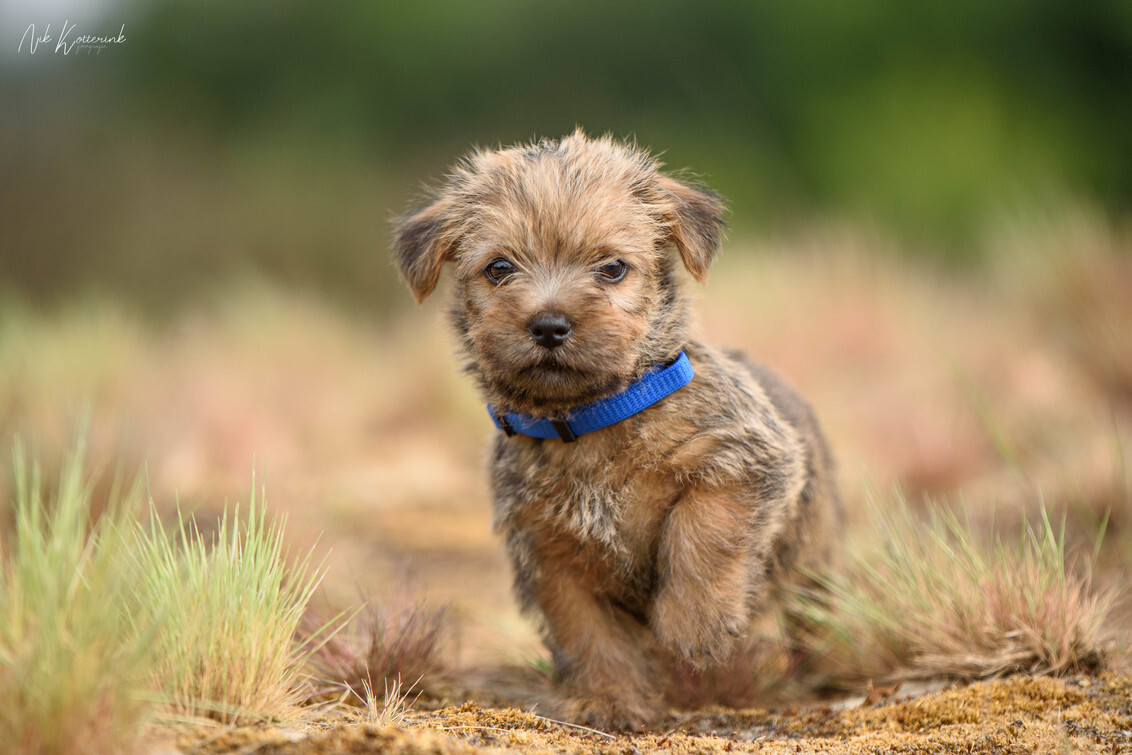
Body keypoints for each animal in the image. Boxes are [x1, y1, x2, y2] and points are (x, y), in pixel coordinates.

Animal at [391, 131, 842, 733]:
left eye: (611, 269)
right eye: (499, 268)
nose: (549, 325)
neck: (590, 419)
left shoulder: (743, 459)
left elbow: (703, 534)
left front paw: (695, 625)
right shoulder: (551, 552)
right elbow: (588, 632)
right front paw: (609, 701)